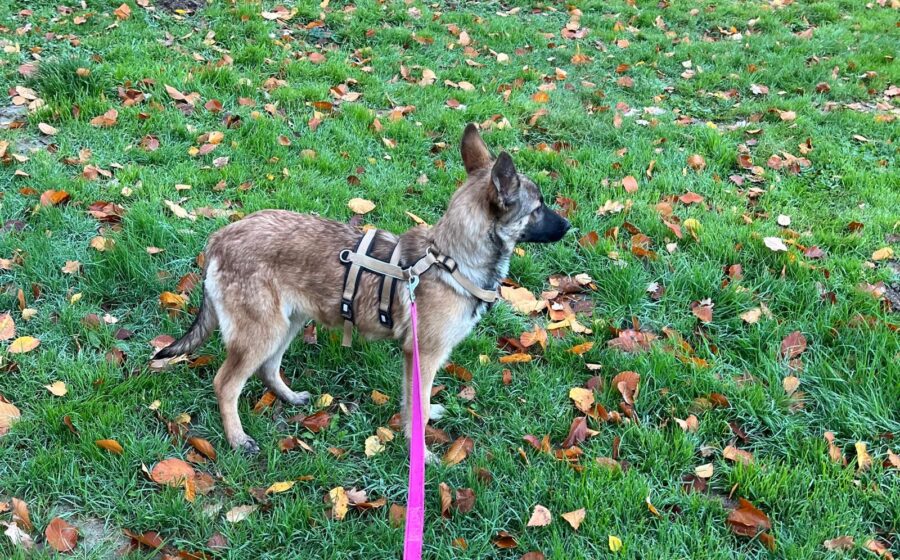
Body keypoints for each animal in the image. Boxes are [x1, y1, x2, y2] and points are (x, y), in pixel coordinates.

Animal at [153, 124, 570, 455]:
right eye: (538, 208)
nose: (569, 226)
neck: (450, 261)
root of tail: (220, 238)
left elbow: (415, 403)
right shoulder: (424, 356)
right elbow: (417, 409)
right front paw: (420, 452)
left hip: (285, 324)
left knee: (269, 369)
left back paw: (289, 397)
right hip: (261, 331)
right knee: (226, 385)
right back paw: (238, 439)